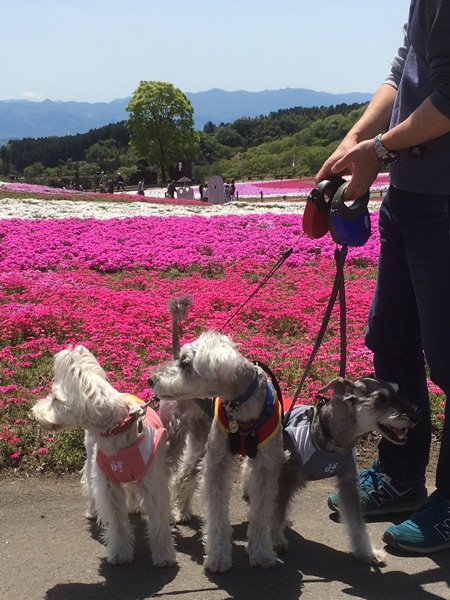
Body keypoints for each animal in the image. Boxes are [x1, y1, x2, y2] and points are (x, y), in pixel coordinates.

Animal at [32, 345, 176, 567]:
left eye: (55, 398)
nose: (33, 412)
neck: (118, 426)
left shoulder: (153, 480)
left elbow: (159, 520)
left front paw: (164, 554)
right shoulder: (107, 483)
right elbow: (116, 520)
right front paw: (120, 552)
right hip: (92, 458)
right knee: (90, 484)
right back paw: (93, 511)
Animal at [148, 329, 287, 572]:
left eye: (185, 362)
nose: (151, 380)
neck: (242, 408)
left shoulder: (266, 466)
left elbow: (261, 512)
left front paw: (261, 553)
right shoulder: (217, 463)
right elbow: (216, 513)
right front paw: (218, 558)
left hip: (200, 443)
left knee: (184, 474)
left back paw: (183, 510)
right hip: (174, 438)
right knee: (169, 476)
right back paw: (170, 515)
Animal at [269, 376, 420, 566]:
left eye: (397, 391)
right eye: (381, 399)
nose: (416, 416)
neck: (329, 434)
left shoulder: (348, 481)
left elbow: (357, 522)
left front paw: (368, 552)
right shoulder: (286, 478)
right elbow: (278, 512)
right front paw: (276, 540)